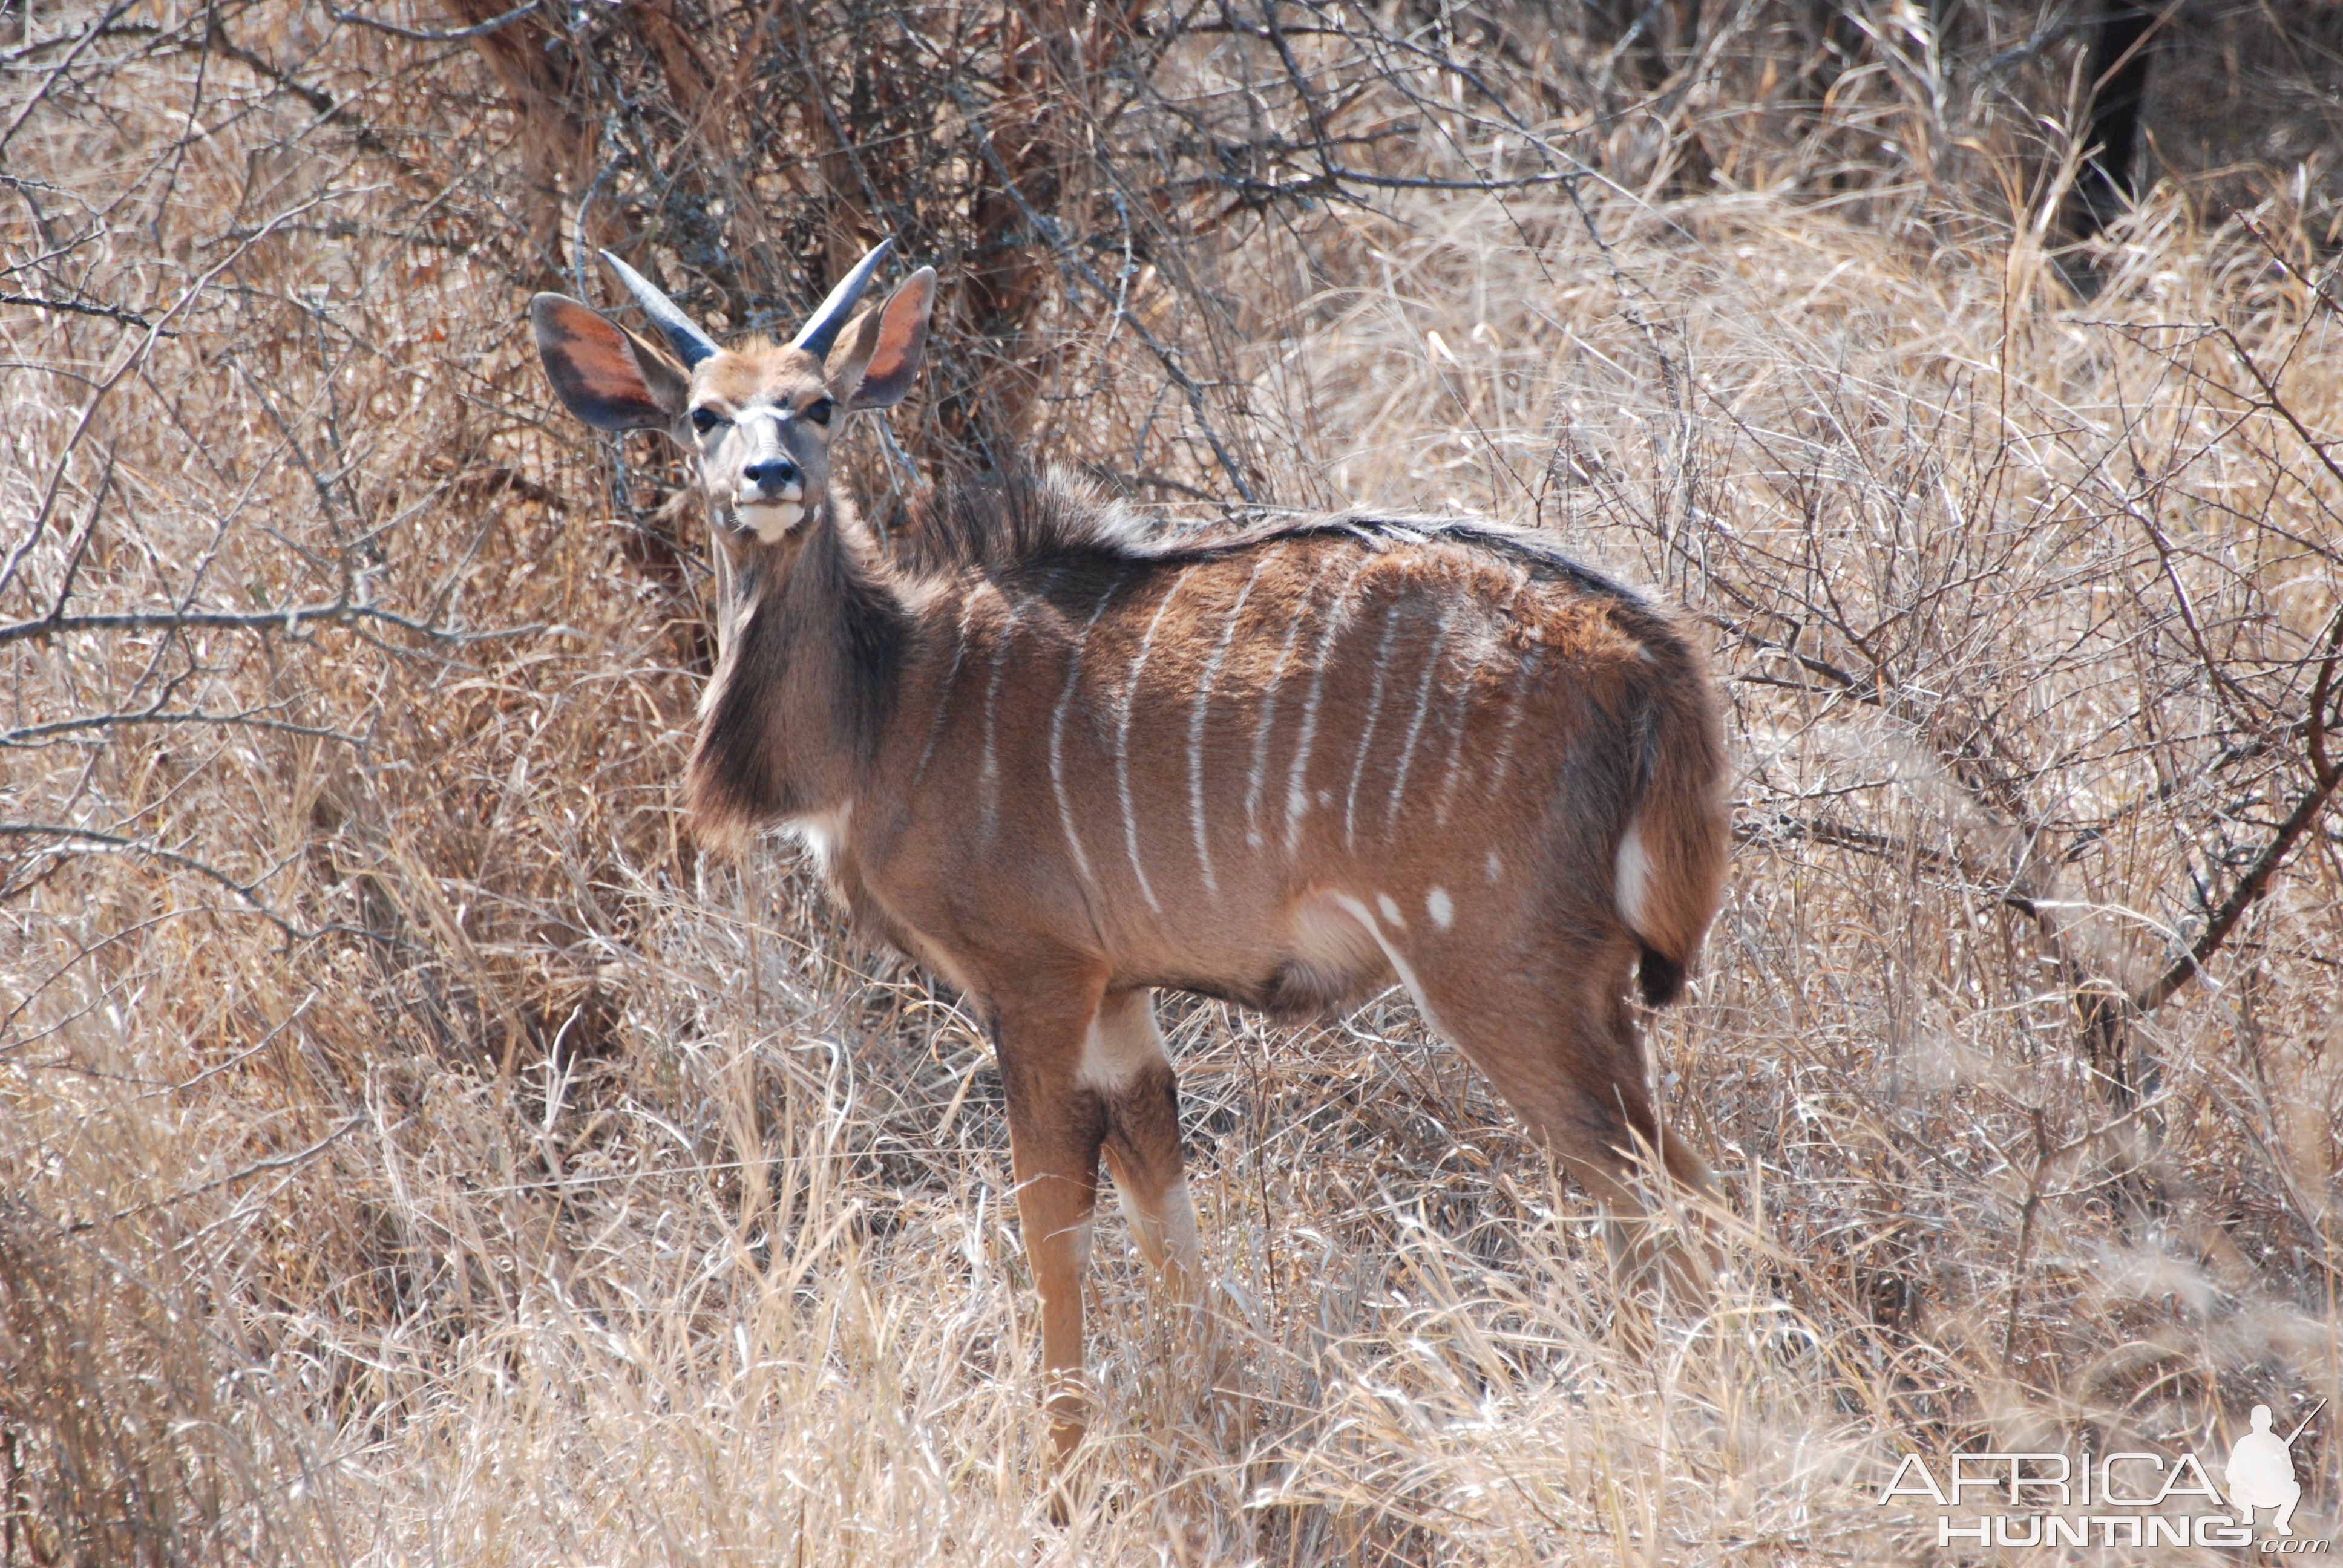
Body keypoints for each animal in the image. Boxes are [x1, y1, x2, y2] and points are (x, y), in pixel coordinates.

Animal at [536, 239, 1743, 1462]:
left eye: (816, 402)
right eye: (702, 414)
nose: (771, 477)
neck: (888, 702)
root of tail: (1649, 656)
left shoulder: (1033, 977)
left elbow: (1049, 1214)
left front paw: (1059, 1460)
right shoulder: (1119, 994)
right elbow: (1160, 1199)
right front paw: (1227, 1415)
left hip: (1498, 968)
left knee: (1654, 1186)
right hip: (1587, 990)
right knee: (1691, 1179)